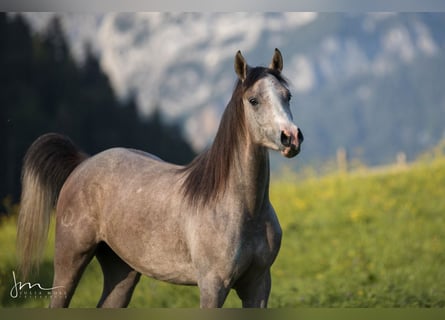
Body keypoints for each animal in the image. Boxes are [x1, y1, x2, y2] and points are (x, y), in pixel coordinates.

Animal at [17, 49, 302, 308]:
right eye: (253, 100)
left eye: (287, 96)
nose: (291, 137)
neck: (243, 210)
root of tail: (82, 163)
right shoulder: (213, 286)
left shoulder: (258, 285)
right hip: (70, 260)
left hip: (122, 270)